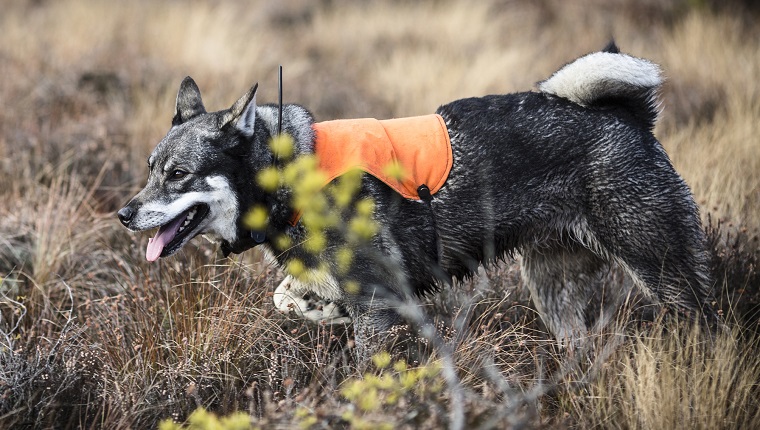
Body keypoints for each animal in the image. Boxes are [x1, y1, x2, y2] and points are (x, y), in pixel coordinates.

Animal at [119, 42, 720, 352]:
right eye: (149, 171)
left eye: (178, 174)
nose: (124, 214)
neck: (290, 175)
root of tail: (626, 115)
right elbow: (286, 298)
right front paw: (316, 307)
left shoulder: (375, 303)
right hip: (554, 290)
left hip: (664, 271)